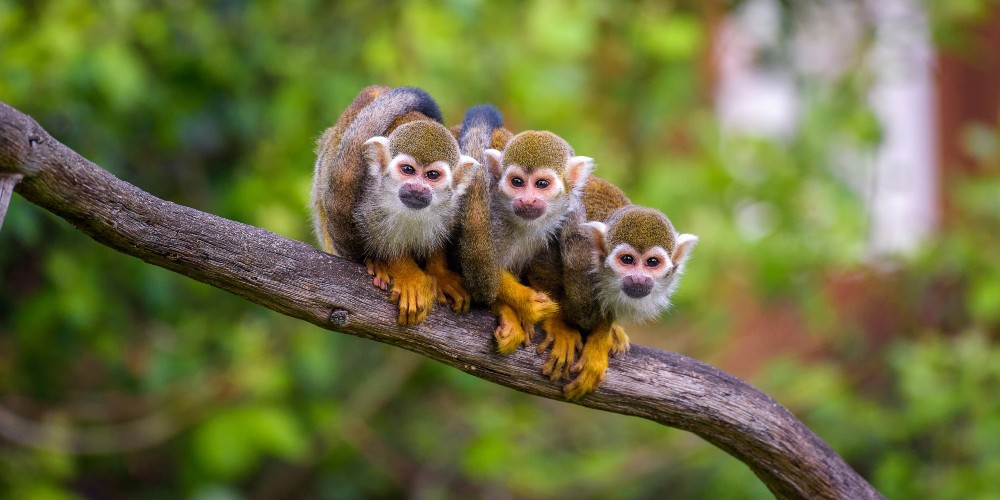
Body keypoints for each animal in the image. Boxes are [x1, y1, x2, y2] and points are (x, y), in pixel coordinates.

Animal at [311, 86, 478, 325]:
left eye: (432, 175)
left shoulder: (456, 205)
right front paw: (406, 274)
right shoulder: (368, 201)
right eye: (407, 170)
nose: (417, 188)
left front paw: (440, 273)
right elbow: (381, 242)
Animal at [528, 177, 698, 399]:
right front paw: (559, 325)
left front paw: (602, 336)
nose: (638, 279)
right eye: (627, 260)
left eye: (652, 262)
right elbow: (542, 261)